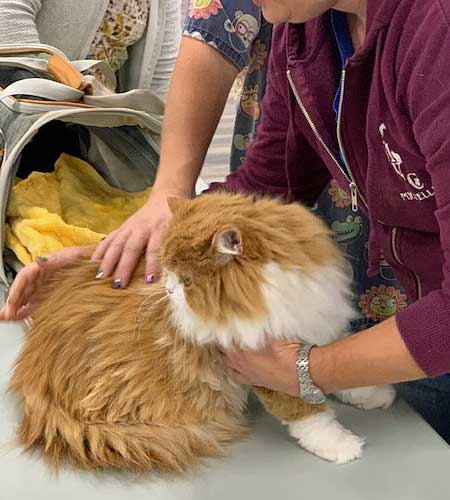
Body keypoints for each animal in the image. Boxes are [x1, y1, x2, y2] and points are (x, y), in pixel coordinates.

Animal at [7, 192, 394, 472]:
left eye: (187, 280)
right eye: (168, 272)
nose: (167, 290)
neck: (274, 290)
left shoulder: (314, 329)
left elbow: (328, 368)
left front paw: (374, 394)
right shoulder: (261, 366)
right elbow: (308, 412)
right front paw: (341, 445)